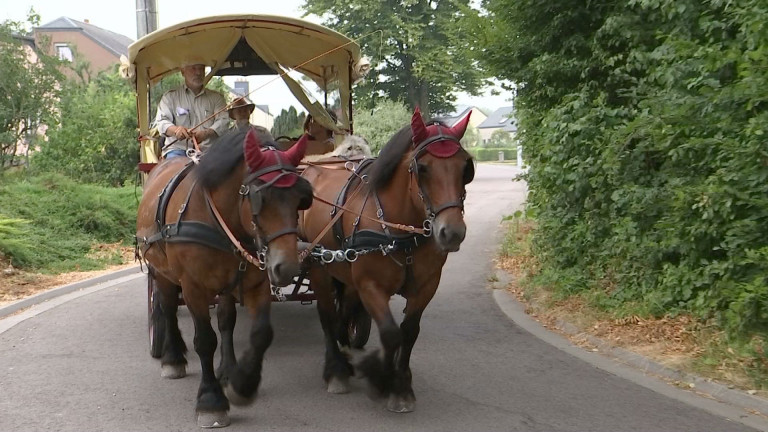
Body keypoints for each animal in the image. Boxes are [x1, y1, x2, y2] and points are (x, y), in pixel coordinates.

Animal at [136, 129, 312, 428]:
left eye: (301, 197)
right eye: (260, 198)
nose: (287, 267)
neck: (220, 220)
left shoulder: (256, 283)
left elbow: (260, 333)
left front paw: (242, 384)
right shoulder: (193, 287)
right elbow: (205, 340)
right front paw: (211, 401)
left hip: (227, 283)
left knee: (226, 319)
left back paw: (227, 369)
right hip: (162, 272)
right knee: (166, 308)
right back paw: (172, 357)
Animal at [298, 108, 474, 412]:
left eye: (466, 168)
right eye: (422, 168)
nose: (451, 232)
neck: (402, 229)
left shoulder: (427, 286)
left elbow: (409, 332)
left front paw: (401, 385)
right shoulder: (371, 286)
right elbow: (391, 333)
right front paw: (382, 377)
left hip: (345, 271)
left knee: (344, 308)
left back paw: (346, 351)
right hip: (319, 267)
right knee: (327, 314)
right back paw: (336, 370)